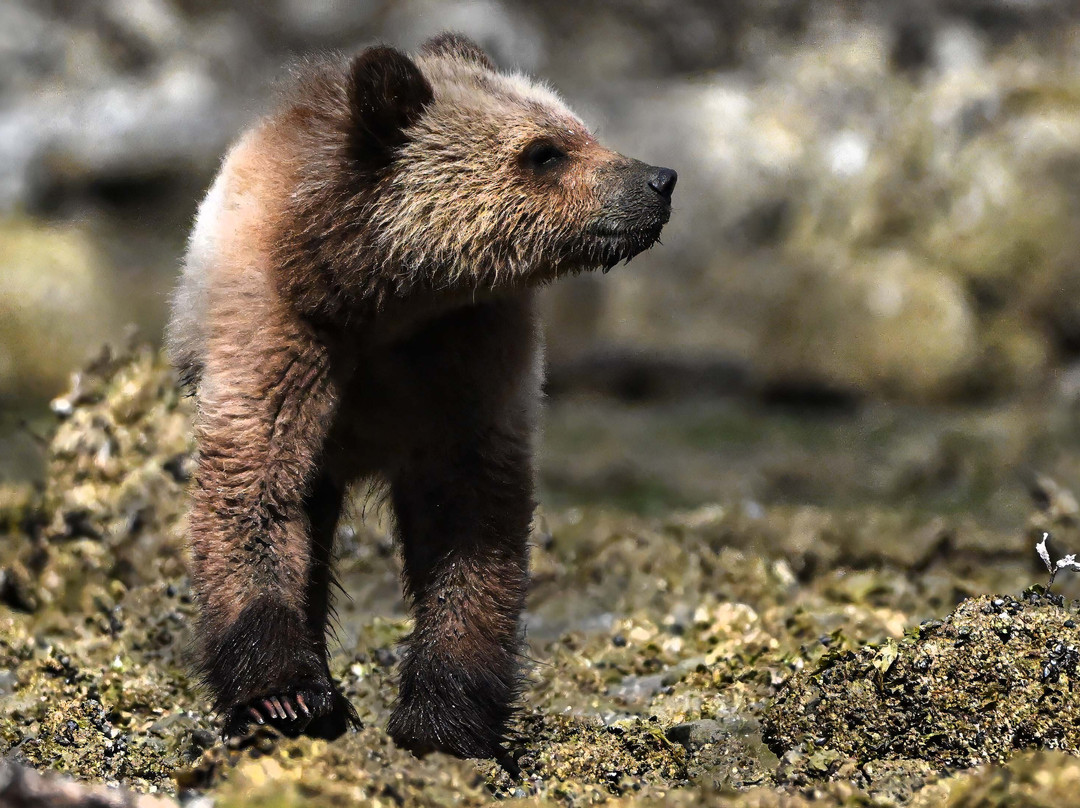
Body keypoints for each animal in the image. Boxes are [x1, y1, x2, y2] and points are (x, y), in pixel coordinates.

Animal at [166, 32, 676, 767]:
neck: (386, 298)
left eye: (580, 128)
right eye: (545, 151)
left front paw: (444, 718)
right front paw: (285, 699)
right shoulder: (279, 334)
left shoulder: (469, 356)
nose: (659, 180)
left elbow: (469, 517)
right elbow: (256, 492)